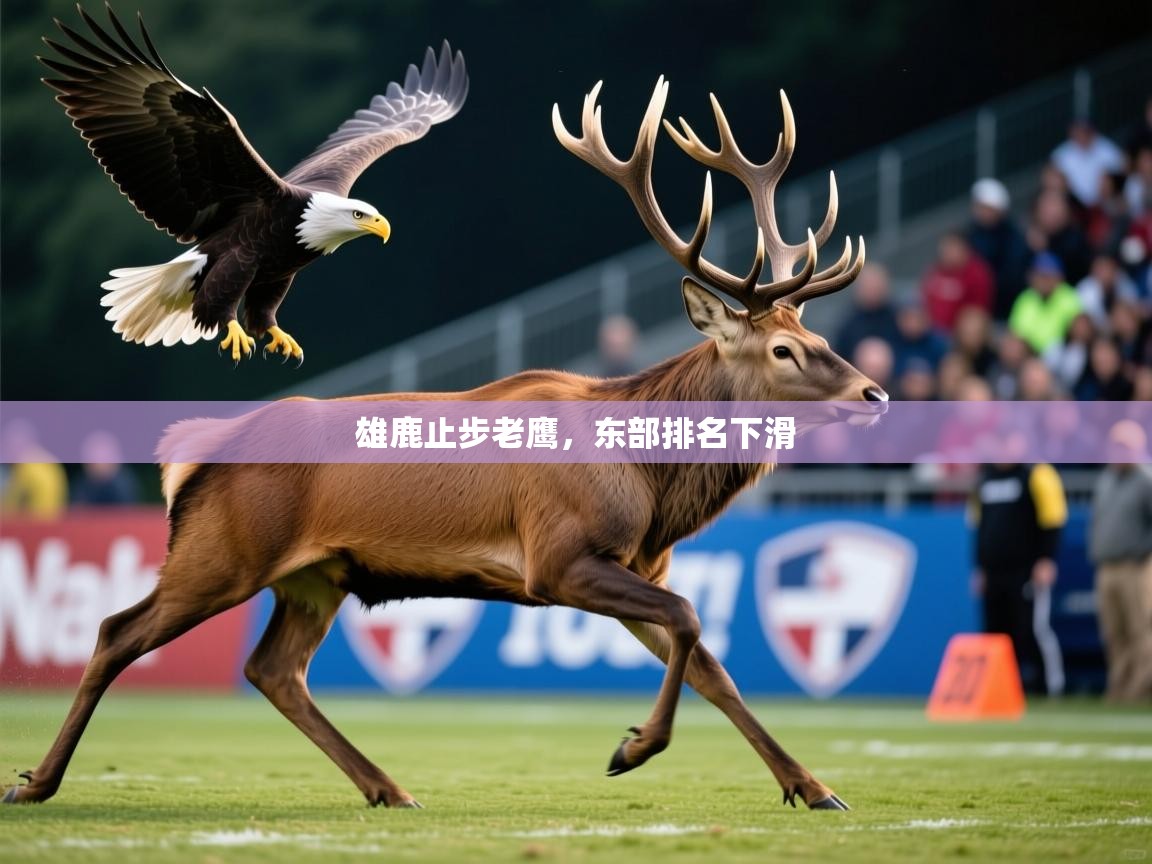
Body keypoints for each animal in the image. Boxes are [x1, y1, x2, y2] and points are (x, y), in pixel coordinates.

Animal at [4, 78, 887, 812]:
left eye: (816, 334)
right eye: (783, 350)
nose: (875, 396)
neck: (650, 483)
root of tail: (194, 451)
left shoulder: (636, 563)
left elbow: (709, 661)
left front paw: (814, 788)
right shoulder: (559, 558)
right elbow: (694, 618)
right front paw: (633, 749)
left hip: (315, 575)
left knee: (272, 670)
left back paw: (389, 788)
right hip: (223, 549)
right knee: (118, 632)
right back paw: (37, 783)